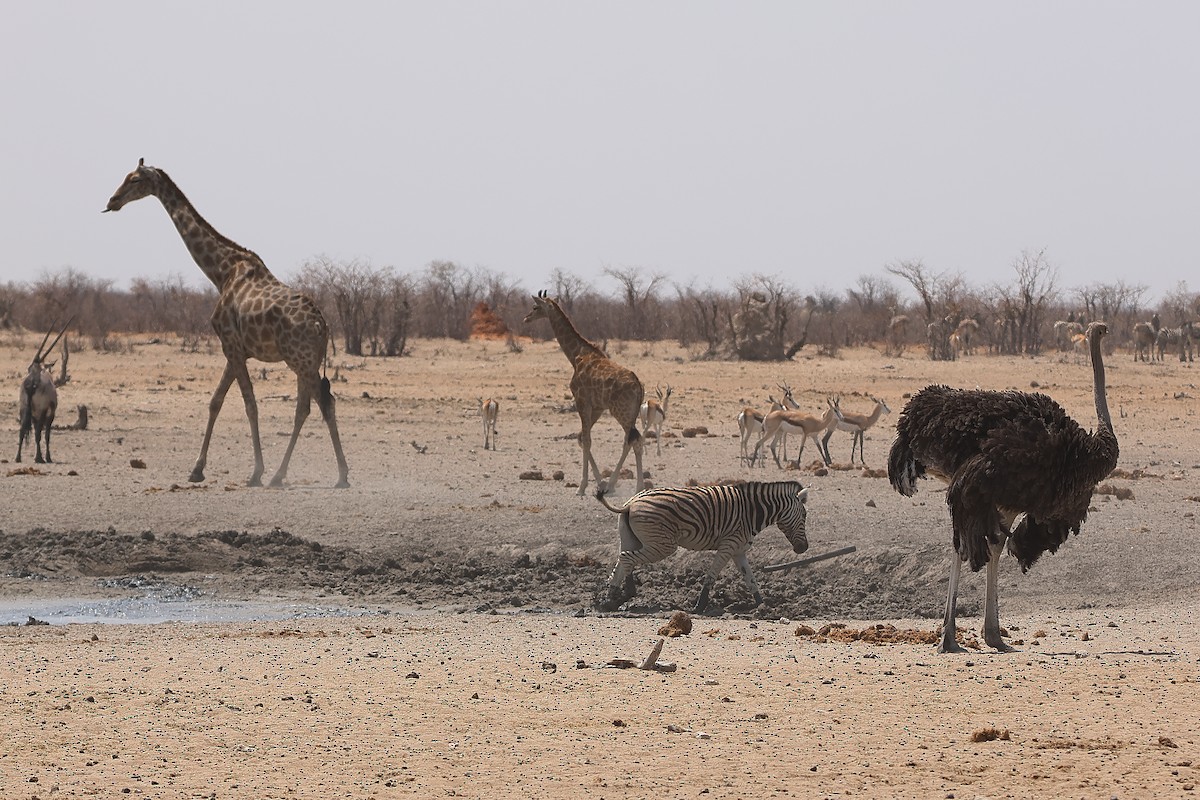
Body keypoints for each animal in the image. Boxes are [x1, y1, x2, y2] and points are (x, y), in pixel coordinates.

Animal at [16, 319, 72, 465]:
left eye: (28, 367)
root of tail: (31, 382)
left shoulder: (34, 414)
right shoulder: (49, 413)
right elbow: (46, 435)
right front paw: (48, 457)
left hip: (24, 408)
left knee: (22, 430)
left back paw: (18, 457)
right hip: (41, 412)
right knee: (38, 433)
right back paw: (40, 458)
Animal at [103, 158, 350, 489]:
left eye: (135, 179)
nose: (112, 201)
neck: (221, 272)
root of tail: (322, 326)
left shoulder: (230, 345)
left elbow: (249, 405)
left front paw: (255, 472)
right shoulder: (235, 350)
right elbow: (216, 401)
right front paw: (197, 469)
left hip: (302, 361)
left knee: (324, 403)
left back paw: (339, 475)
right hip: (303, 361)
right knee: (306, 408)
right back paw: (280, 475)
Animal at [520, 291, 643, 496]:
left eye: (535, 307)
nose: (526, 318)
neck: (576, 355)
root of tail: (639, 387)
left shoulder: (581, 401)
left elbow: (586, 440)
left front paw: (582, 486)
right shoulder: (597, 407)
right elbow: (580, 437)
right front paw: (599, 482)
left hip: (622, 412)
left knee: (632, 441)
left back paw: (626, 486)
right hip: (629, 413)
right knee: (634, 440)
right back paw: (627, 486)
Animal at [595, 482, 811, 614]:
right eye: (805, 516)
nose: (804, 548)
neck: (752, 512)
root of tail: (631, 503)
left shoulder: (739, 550)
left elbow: (750, 580)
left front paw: (762, 606)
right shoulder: (728, 545)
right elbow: (711, 575)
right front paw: (699, 606)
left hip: (632, 538)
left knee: (620, 562)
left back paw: (610, 600)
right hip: (663, 545)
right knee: (627, 558)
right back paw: (628, 593)